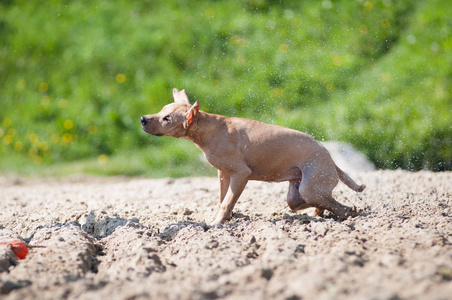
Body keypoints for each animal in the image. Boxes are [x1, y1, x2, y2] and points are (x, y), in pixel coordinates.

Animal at [142, 88, 368, 224]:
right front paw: (228, 218)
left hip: (309, 188)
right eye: (161, 109)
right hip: (296, 195)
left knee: (340, 207)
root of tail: (331, 160)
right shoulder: (223, 174)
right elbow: (223, 199)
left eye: (167, 118)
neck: (210, 129)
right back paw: (317, 215)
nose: (143, 119)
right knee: (321, 203)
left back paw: (350, 212)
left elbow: (227, 202)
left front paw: (216, 224)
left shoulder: (241, 174)